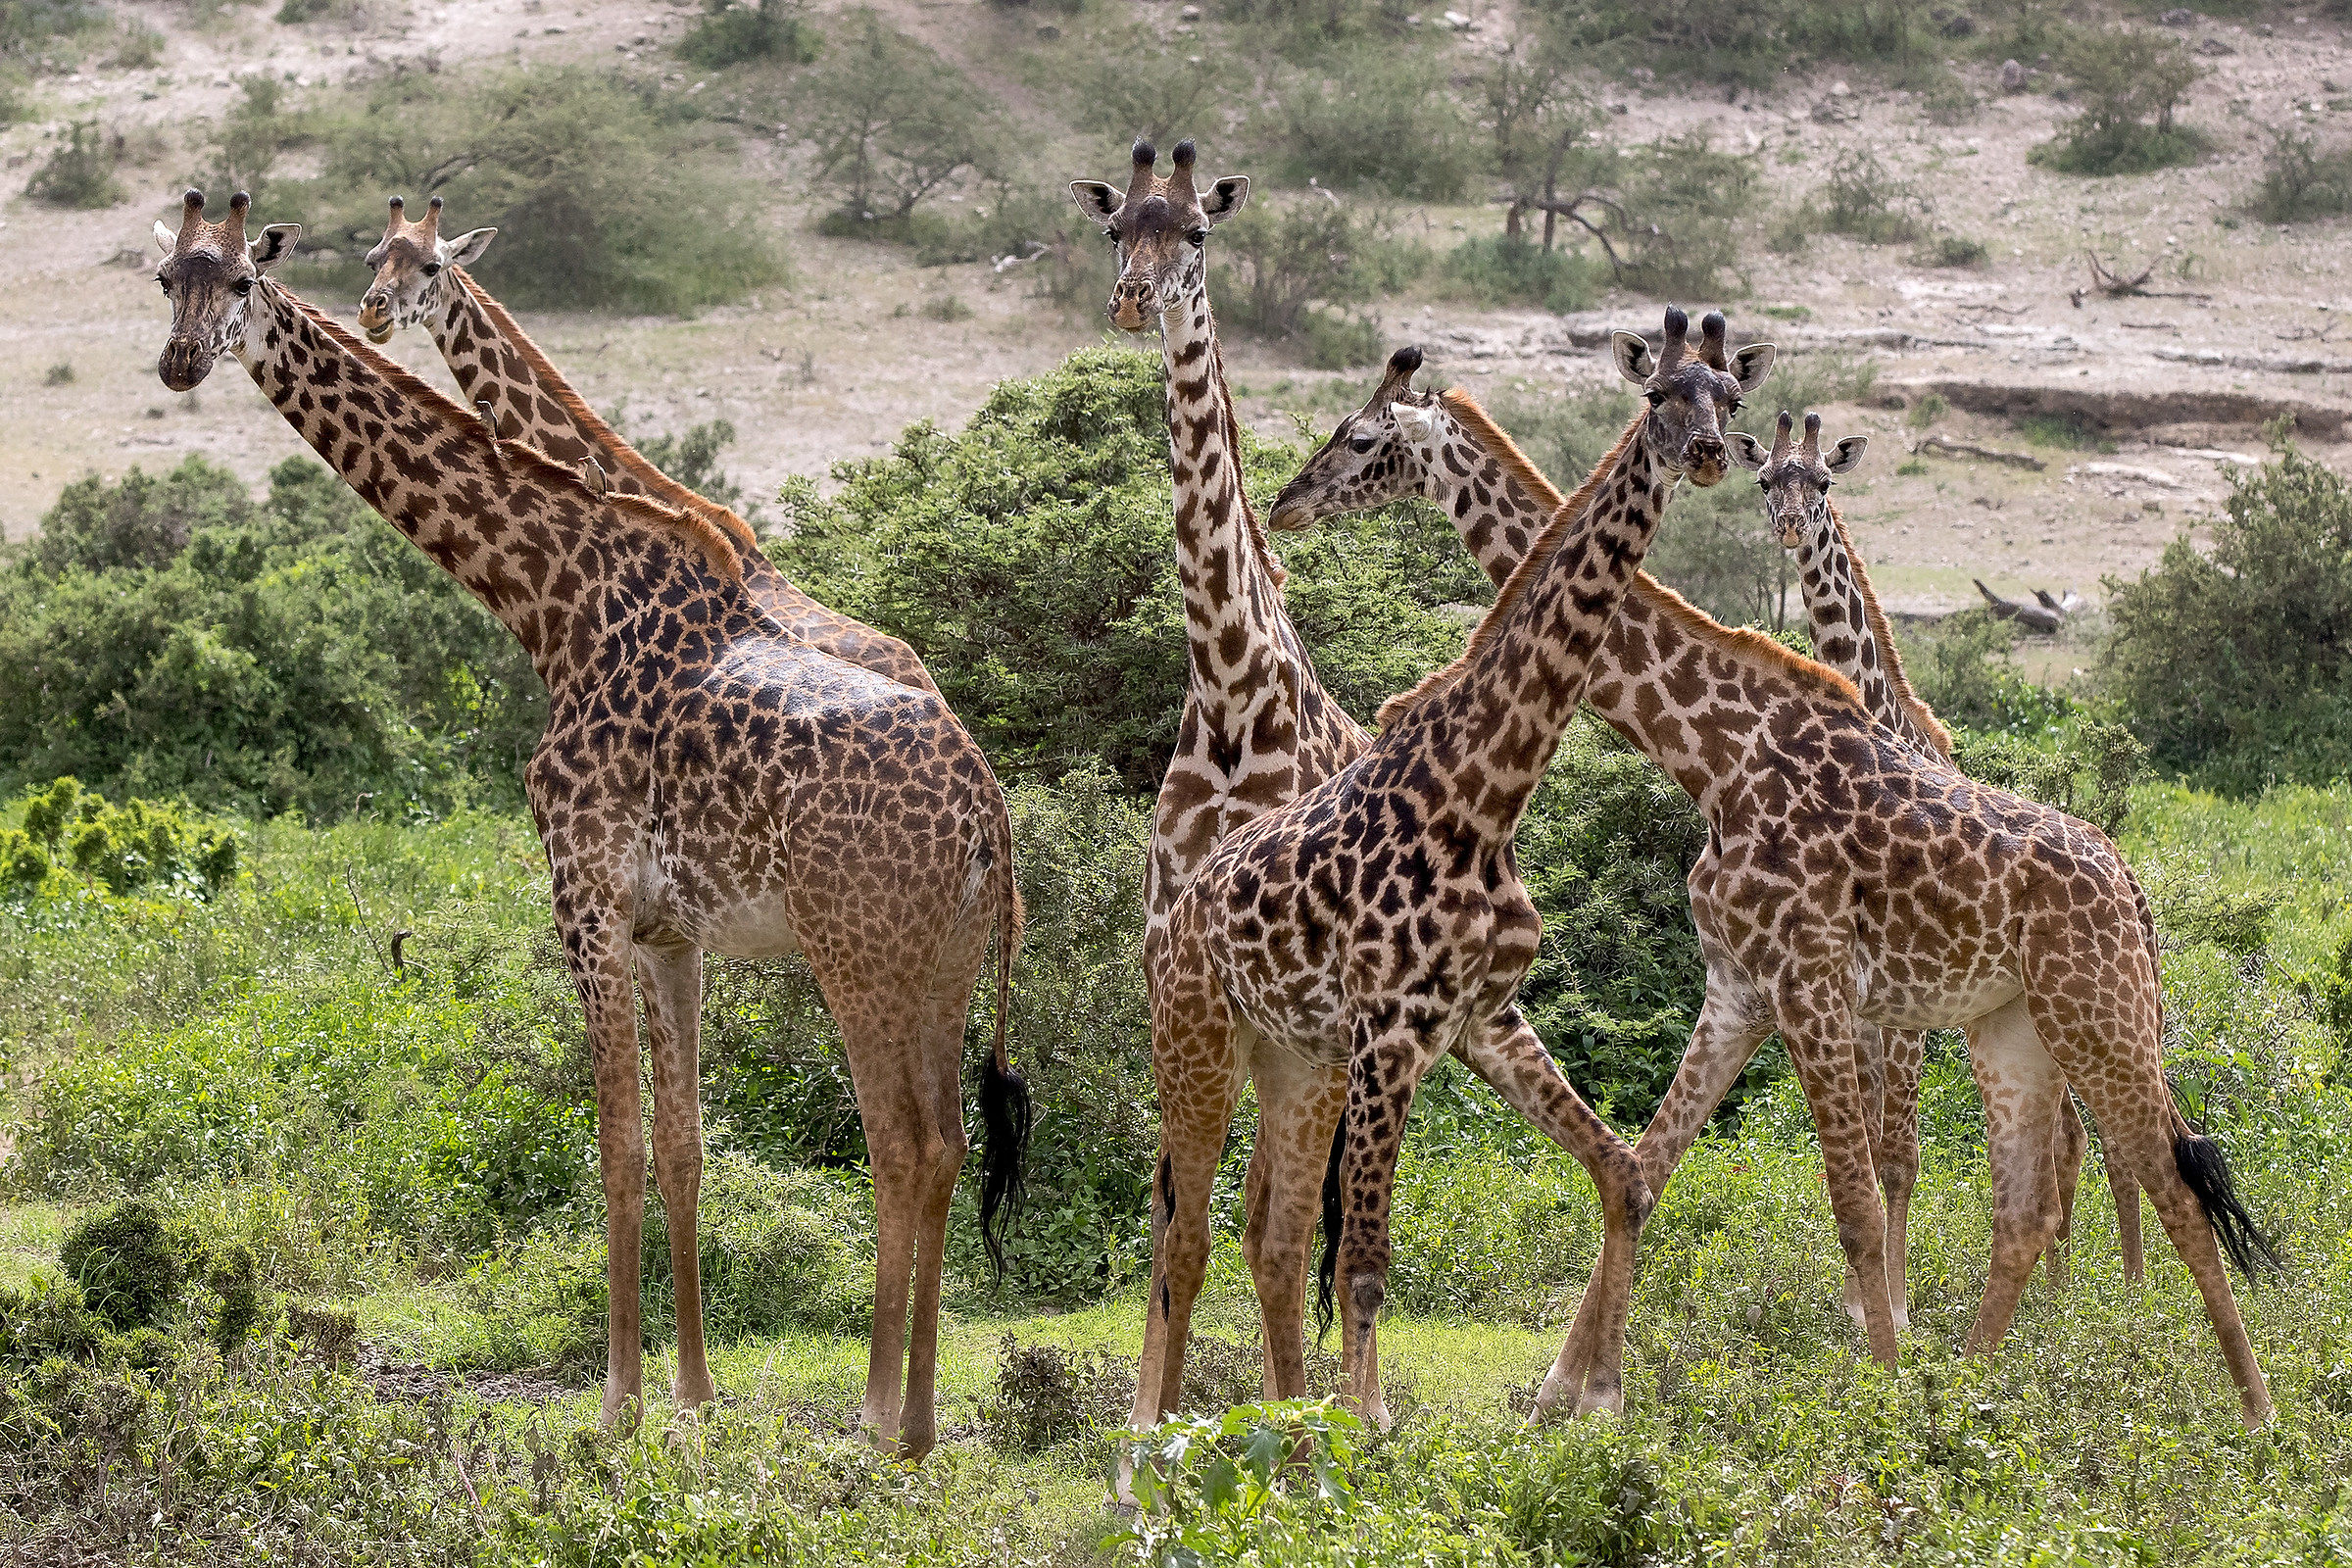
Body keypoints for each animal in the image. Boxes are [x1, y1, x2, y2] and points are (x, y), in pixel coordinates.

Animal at [1068, 141, 1641, 1495]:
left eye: (1196, 237)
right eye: (1117, 228)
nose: (1131, 300)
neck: (1234, 694)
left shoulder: (1320, 1019)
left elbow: (1281, 1233)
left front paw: (1304, 1425)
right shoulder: (1193, 964)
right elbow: (1188, 1228)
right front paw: (1156, 1437)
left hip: (1360, 1040)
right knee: (1225, 1219)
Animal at [1163, 307, 1769, 1428]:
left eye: (1730, 397)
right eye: (1659, 395)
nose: (1711, 454)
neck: (1488, 794)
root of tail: (1179, 903)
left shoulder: (1481, 1016)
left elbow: (1623, 1173)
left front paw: (1597, 1400)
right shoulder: (1393, 1030)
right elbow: (1364, 1262)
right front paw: (1367, 1426)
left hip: (1295, 1059)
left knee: (1266, 1230)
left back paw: (1277, 1418)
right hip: (1196, 1035)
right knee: (1185, 1227)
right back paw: (1158, 1426)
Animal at [1727, 411, 2147, 1315]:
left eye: (1824, 482)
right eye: (1766, 480)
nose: (1788, 526)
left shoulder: (1905, 1017)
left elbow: (1900, 1155)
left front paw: (1896, 1304)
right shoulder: (1860, 1002)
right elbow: (1861, 1140)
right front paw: (1860, 1300)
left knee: (2096, 1136)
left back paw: (2113, 1295)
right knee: (2068, 1133)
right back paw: (2061, 1287)